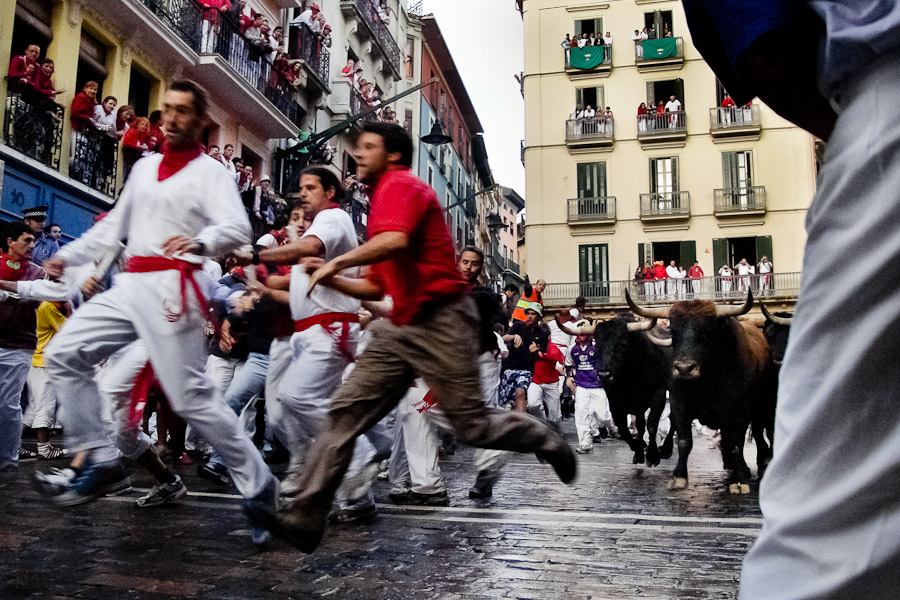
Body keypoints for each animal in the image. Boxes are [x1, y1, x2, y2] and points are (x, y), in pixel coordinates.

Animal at [556, 316, 676, 466]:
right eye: (597, 344)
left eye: (623, 343)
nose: (604, 375)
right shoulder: (615, 402)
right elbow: (623, 428)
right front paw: (637, 450)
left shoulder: (658, 395)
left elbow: (652, 424)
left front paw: (652, 456)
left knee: (673, 420)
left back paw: (666, 449)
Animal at [624, 288, 780, 494]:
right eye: (673, 330)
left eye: (707, 331)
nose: (684, 368)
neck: (708, 382)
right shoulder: (679, 405)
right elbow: (684, 442)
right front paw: (679, 477)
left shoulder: (741, 412)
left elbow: (738, 444)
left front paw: (739, 479)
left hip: (764, 408)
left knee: (761, 434)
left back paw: (759, 464)